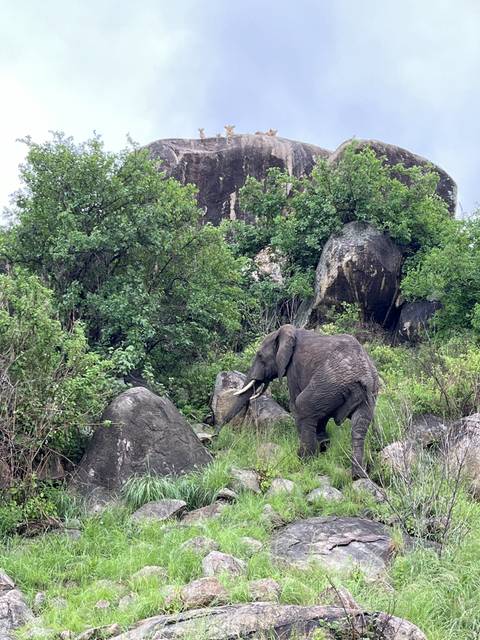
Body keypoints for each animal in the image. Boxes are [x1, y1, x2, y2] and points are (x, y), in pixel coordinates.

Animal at [222, 324, 379, 478]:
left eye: (260, 355)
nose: (218, 434)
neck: (293, 331)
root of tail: (364, 377)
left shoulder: (294, 368)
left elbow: (295, 403)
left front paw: (318, 451)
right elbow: (322, 418)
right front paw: (323, 447)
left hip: (329, 383)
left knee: (302, 406)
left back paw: (304, 460)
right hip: (366, 394)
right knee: (359, 428)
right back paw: (358, 475)